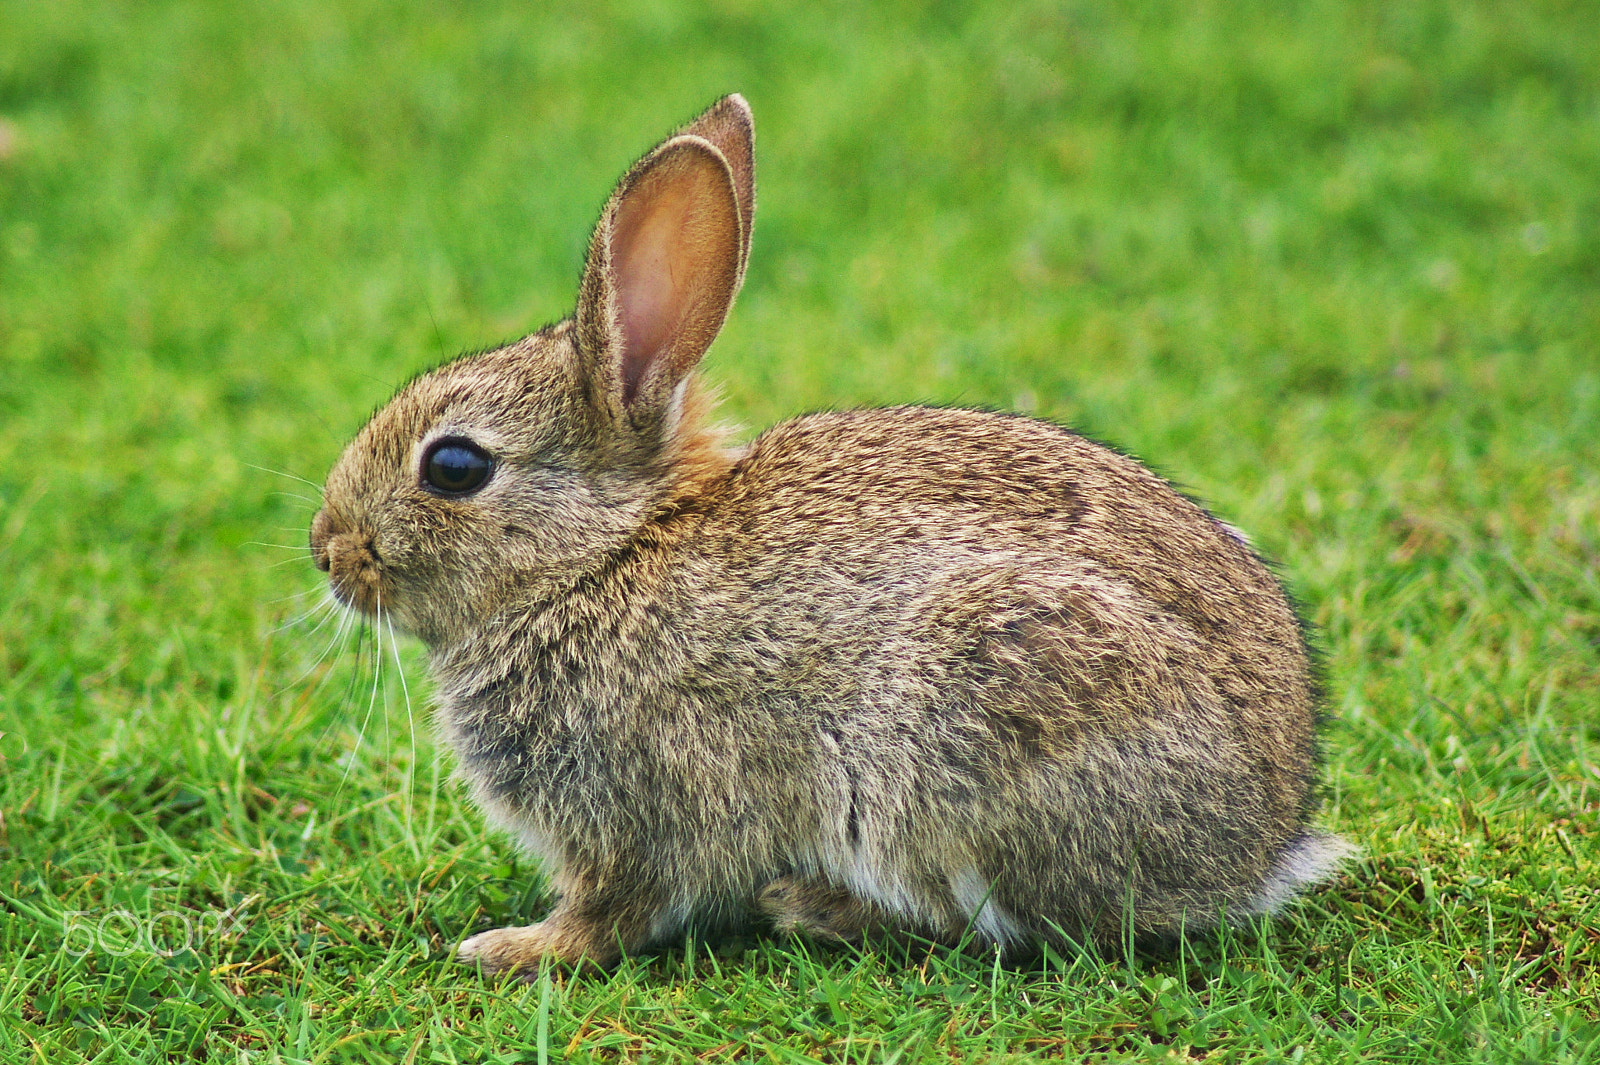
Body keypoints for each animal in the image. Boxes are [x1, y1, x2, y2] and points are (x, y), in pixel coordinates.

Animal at [308, 95, 1350, 972]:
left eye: (454, 467)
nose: (328, 549)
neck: (601, 558)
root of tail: (1257, 843)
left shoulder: (637, 808)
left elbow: (614, 912)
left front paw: (513, 949)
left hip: (963, 742)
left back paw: (812, 906)